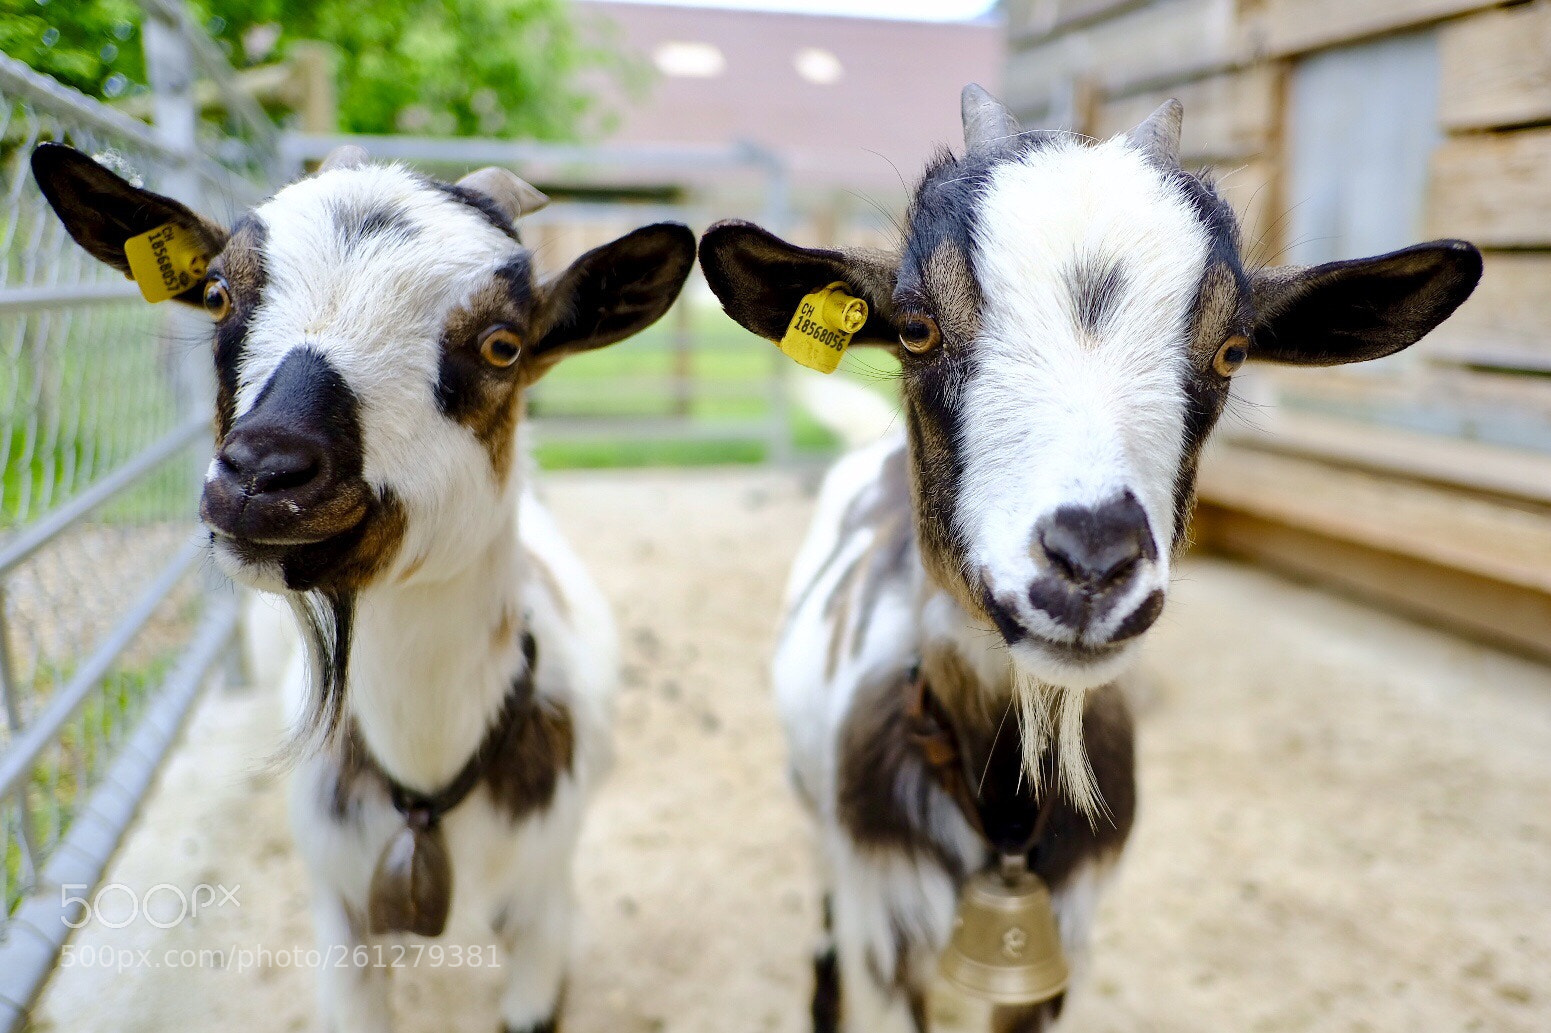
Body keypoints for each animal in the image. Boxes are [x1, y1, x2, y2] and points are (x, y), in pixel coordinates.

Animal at [34, 142, 695, 1032]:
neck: (426, 775)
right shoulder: (341, 919)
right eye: (217, 294)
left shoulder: (544, 912)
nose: (262, 473)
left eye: (502, 345)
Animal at [699, 86, 1481, 1033]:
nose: (1091, 565)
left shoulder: (1050, 951)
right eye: (917, 328)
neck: (1004, 811)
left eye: (1231, 349)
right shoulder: (887, 929)